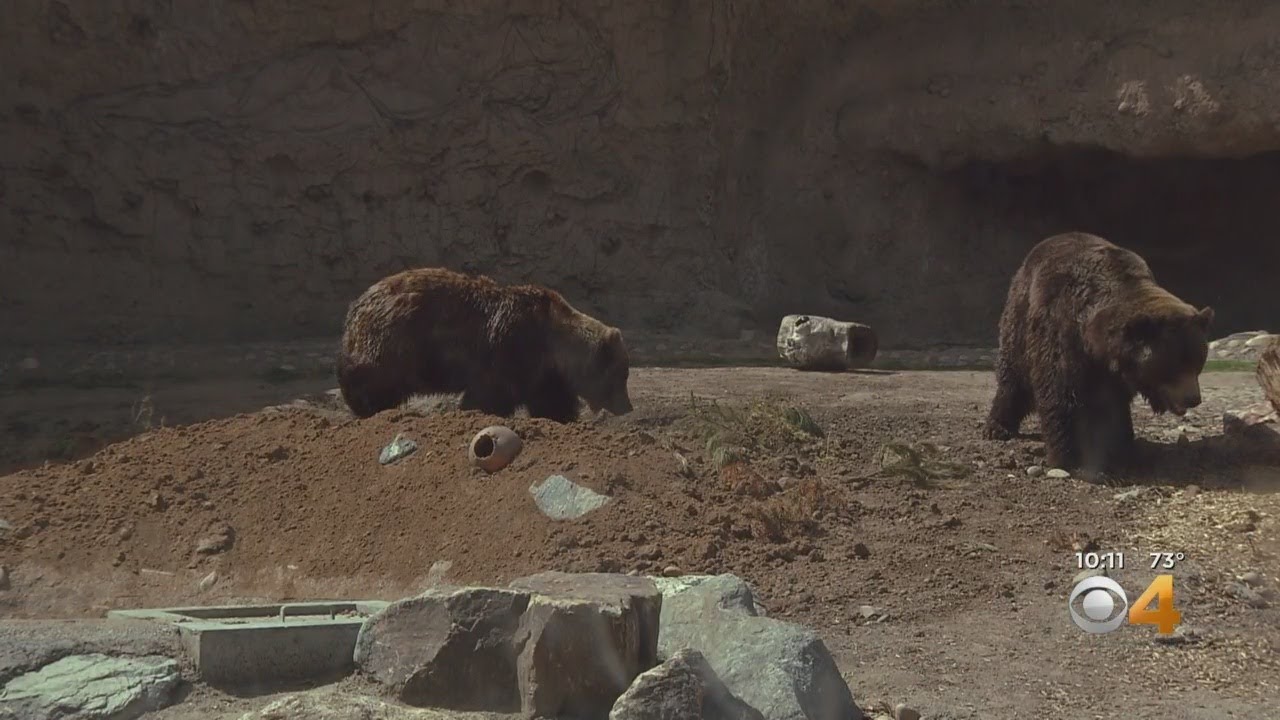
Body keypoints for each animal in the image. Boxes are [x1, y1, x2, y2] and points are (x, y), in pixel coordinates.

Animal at [336, 267, 633, 423]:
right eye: (621, 375)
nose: (627, 406)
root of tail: (354, 307)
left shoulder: (543, 375)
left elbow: (552, 403)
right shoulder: (511, 348)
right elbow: (488, 395)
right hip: (393, 343)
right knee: (372, 383)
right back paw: (369, 409)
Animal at [982, 232, 1214, 475]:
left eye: (1198, 362)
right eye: (1173, 365)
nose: (1193, 398)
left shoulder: (1117, 374)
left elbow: (1115, 408)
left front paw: (1122, 450)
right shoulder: (1061, 333)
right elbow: (1062, 394)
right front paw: (1070, 456)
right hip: (1020, 316)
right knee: (1013, 378)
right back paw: (997, 427)